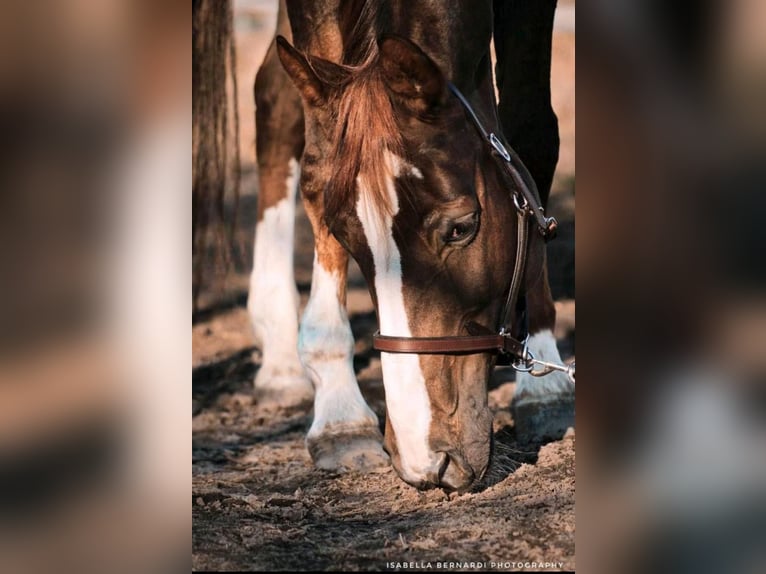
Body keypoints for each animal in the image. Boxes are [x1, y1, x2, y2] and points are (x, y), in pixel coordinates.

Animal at [230, 0, 571, 491]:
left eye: (460, 228)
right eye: (342, 235)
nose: (424, 460)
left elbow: (530, 134)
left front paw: (544, 376)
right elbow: (319, 160)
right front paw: (339, 417)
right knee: (277, 102)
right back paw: (281, 358)